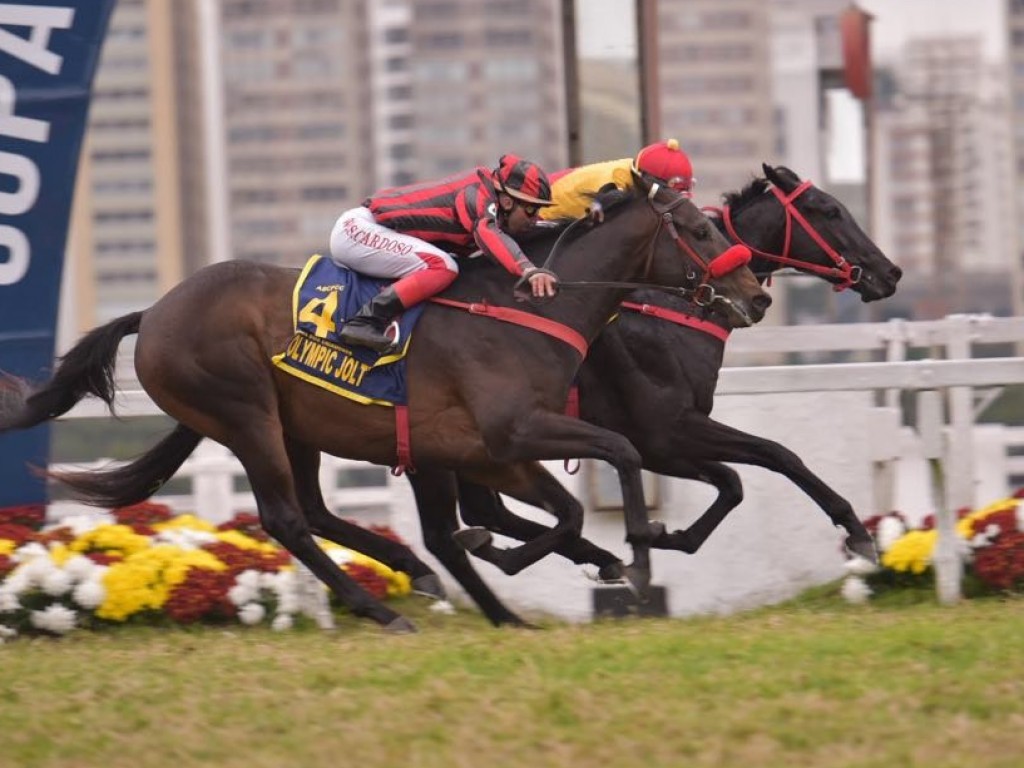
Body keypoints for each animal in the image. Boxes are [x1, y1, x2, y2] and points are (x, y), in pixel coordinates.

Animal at [0, 183, 770, 634]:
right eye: (702, 230)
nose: (758, 296)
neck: (525, 309)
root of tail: (154, 312)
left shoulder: (495, 452)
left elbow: (568, 506)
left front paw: (598, 557)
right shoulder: (515, 433)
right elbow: (618, 458)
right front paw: (631, 556)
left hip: (296, 425)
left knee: (316, 512)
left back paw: (414, 572)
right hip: (246, 415)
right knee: (285, 519)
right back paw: (380, 605)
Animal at [401, 165, 905, 626]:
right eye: (830, 210)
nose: (891, 272)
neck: (675, 303)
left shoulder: (660, 444)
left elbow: (732, 483)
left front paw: (662, 536)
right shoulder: (667, 429)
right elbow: (778, 454)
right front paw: (858, 534)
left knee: (475, 516)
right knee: (449, 531)